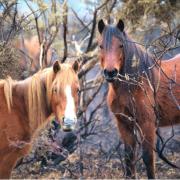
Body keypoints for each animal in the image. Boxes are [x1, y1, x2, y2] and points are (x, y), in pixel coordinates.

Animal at [98, 19, 180, 178]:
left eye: (121, 45)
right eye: (100, 46)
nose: (110, 72)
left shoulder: (147, 124)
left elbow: (148, 159)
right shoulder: (124, 125)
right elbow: (129, 160)